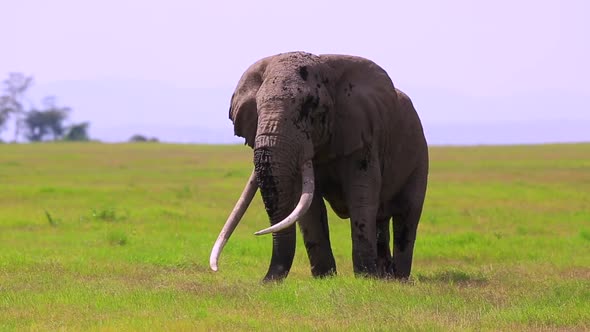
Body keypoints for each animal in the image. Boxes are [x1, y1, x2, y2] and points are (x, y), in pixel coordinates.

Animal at [209, 50, 430, 282]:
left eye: (309, 106)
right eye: (257, 110)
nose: (265, 281)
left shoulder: (363, 134)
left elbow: (361, 196)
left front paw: (364, 278)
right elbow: (309, 204)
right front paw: (325, 278)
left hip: (419, 154)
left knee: (407, 214)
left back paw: (398, 277)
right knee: (381, 219)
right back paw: (384, 276)